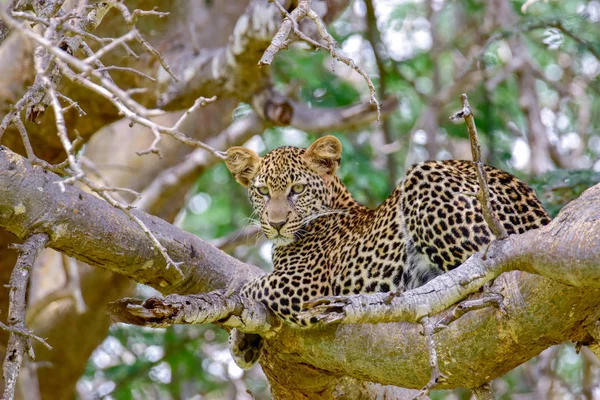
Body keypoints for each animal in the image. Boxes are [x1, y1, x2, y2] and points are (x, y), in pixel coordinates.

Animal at [224, 135, 548, 368]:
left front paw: (239, 334)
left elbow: (250, 285)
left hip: (424, 178)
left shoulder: (306, 288)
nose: (276, 223)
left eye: (298, 189)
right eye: (263, 191)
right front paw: (245, 343)